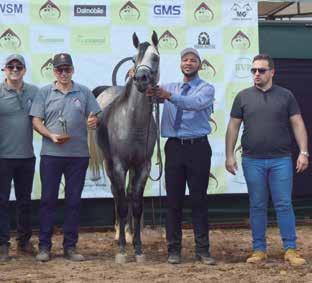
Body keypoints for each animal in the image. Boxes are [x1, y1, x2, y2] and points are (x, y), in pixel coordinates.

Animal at [89, 31, 160, 264]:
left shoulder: (143, 166)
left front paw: (137, 248)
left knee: (127, 194)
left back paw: (128, 233)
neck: (132, 122)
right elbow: (121, 204)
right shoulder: (119, 165)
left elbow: (136, 204)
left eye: (155, 57)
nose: (141, 78)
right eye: (135, 59)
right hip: (109, 164)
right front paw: (121, 251)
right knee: (116, 194)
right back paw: (118, 233)